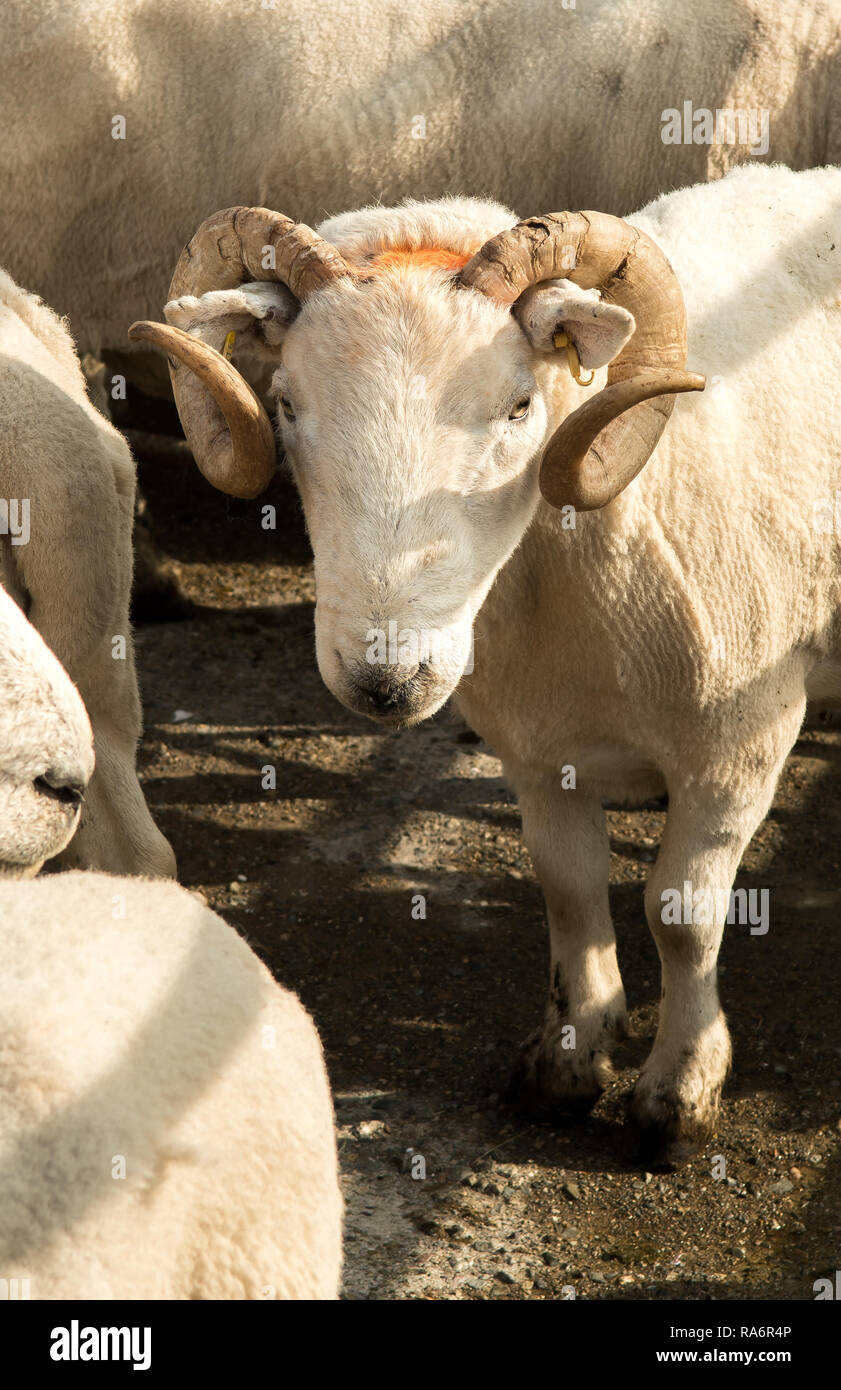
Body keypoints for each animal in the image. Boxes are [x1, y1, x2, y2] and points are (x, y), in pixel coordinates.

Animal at [134, 162, 841, 1167]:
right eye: (286, 405)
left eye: (518, 407)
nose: (385, 680)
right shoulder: (539, 752)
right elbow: (570, 889)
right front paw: (566, 1063)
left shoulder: (741, 743)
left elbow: (681, 914)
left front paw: (678, 1095)